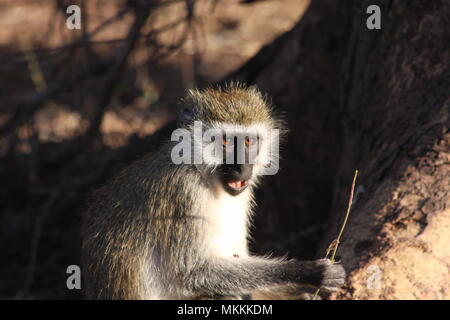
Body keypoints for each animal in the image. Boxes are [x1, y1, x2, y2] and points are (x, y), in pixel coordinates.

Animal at [82, 83, 346, 300]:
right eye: (226, 142)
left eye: (248, 141)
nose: (241, 168)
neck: (203, 174)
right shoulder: (182, 193)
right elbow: (193, 271)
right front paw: (307, 272)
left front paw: (298, 292)